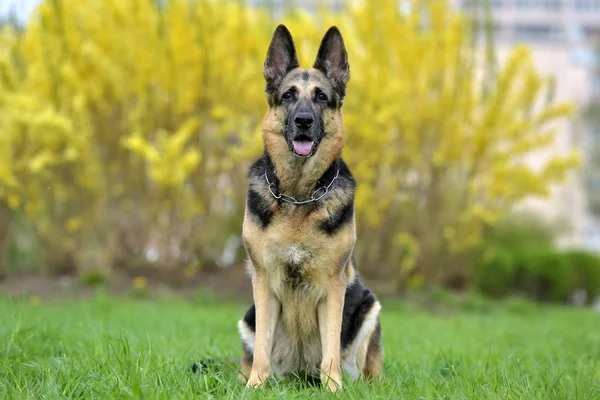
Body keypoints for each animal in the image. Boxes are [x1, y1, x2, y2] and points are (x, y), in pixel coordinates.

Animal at [237, 24, 382, 390]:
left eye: (321, 97)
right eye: (288, 95)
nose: (303, 120)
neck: (299, 197)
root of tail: (298, 374)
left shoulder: (332, 288)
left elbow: (330, 349)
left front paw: (333, 389)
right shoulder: (264, 285)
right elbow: (261, 351)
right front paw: (254, 386)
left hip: (368, 308)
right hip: (249, 316)